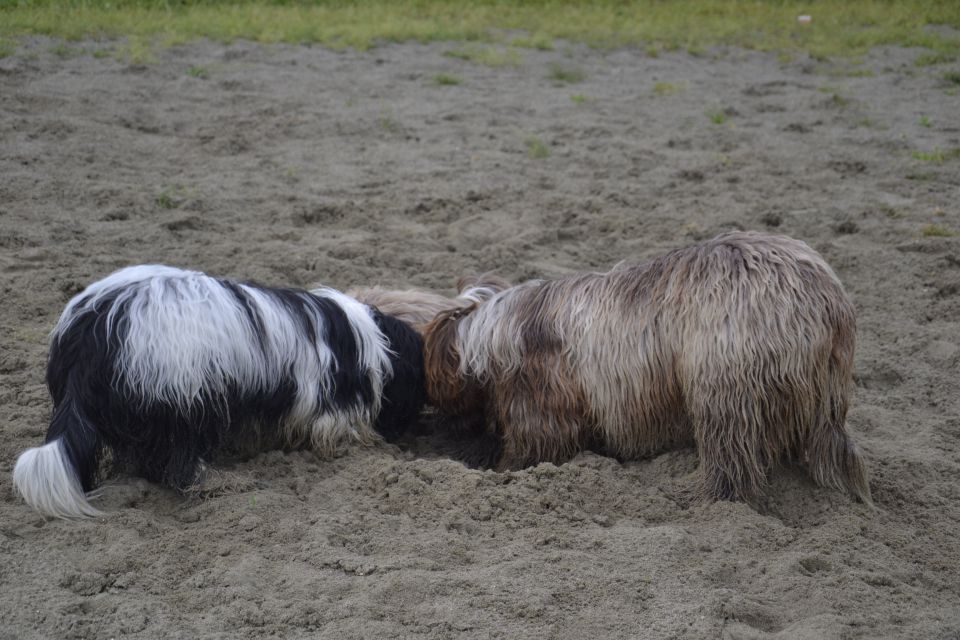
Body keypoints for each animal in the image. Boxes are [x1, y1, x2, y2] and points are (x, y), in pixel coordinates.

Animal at [422, 231, 872, 504]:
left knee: (732, 459)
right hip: (825, 397)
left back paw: (707, 499)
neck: (495, 332)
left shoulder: (542, 411)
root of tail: (820, 299)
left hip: (724, 391)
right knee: (833, 450)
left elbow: (532, 450)